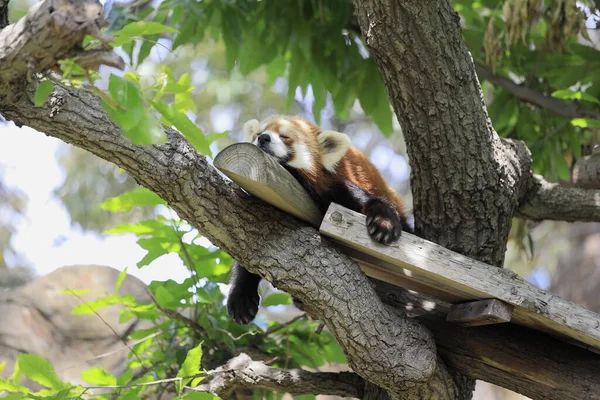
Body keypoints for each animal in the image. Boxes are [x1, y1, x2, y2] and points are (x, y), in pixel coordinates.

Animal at [226, 113, 412, 324]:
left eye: (285, 137)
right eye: (258, 133)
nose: (263, 138)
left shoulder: (335, 187)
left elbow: (367, 200)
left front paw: (384, 223)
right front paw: (241, 294)